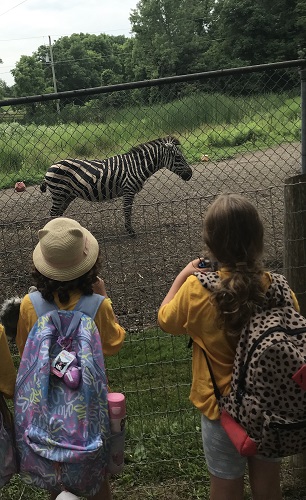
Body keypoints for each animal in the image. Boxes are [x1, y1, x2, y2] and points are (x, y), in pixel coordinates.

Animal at [40, 135, 194, 236]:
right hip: (59, 192)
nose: (190, 174)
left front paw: (129, 229)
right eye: (178, 157)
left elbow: (128, 210)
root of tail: (50, 167)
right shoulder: (128, 190)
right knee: (53, 213)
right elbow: (127, 210)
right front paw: (130, 231)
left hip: (67, 195)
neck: (137, 166)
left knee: (58, 214)